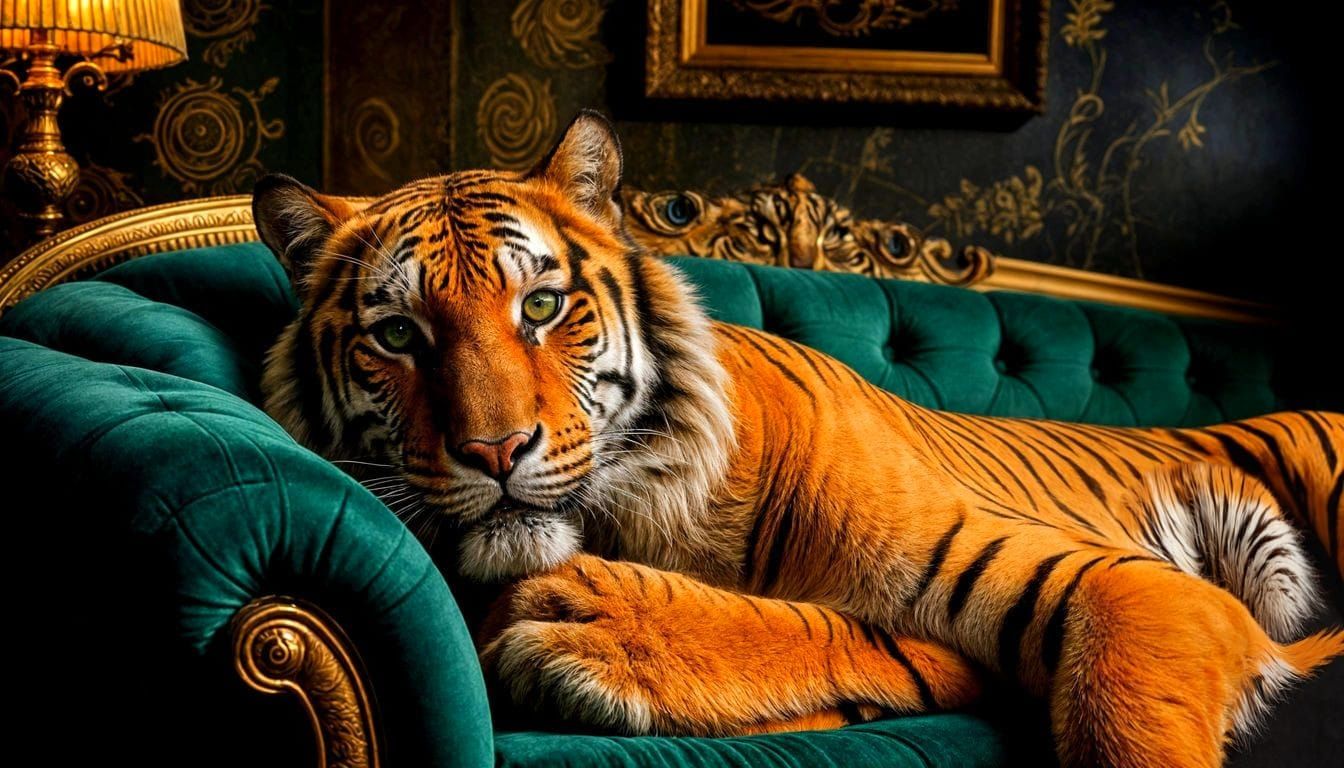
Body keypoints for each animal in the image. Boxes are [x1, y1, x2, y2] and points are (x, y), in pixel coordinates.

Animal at [252, 111, 1344, 768]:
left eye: (544, 306)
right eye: (398, 335)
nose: (494, 451)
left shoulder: (1131, 587)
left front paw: (591, 622)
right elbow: (846, 635)